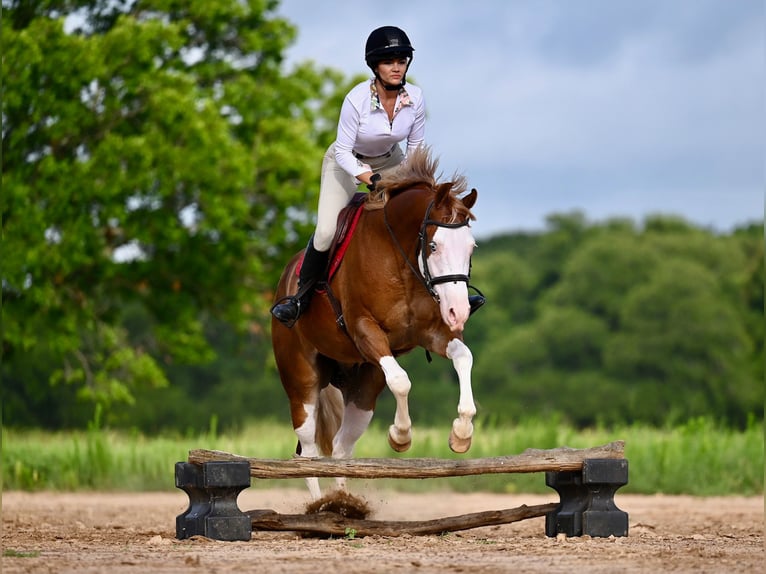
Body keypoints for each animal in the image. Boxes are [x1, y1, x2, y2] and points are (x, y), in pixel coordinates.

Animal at [272, 148, 480, 500]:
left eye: (471, 247)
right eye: (434, 246)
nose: (459, 311)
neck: (399, 256)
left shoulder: (432, 332)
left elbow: (464, 357)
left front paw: (461, 434)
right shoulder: (364, 330)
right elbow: (401, 381)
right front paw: (400, 436)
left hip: (363, 386)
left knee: (340, 448)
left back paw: (343, 503)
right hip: (301, 381)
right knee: (308, 450)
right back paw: (319, 507)